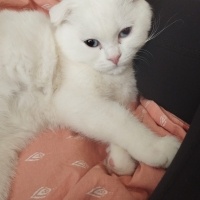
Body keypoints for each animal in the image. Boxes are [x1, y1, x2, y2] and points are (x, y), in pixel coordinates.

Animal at [0, 0, 180, 199]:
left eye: (125, 32)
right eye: (91, 43)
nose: (115, 57)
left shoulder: (123, 97)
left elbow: (121, 117)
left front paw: (118, 160)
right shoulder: (77, 102)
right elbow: (122, 122)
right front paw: (158, 148)